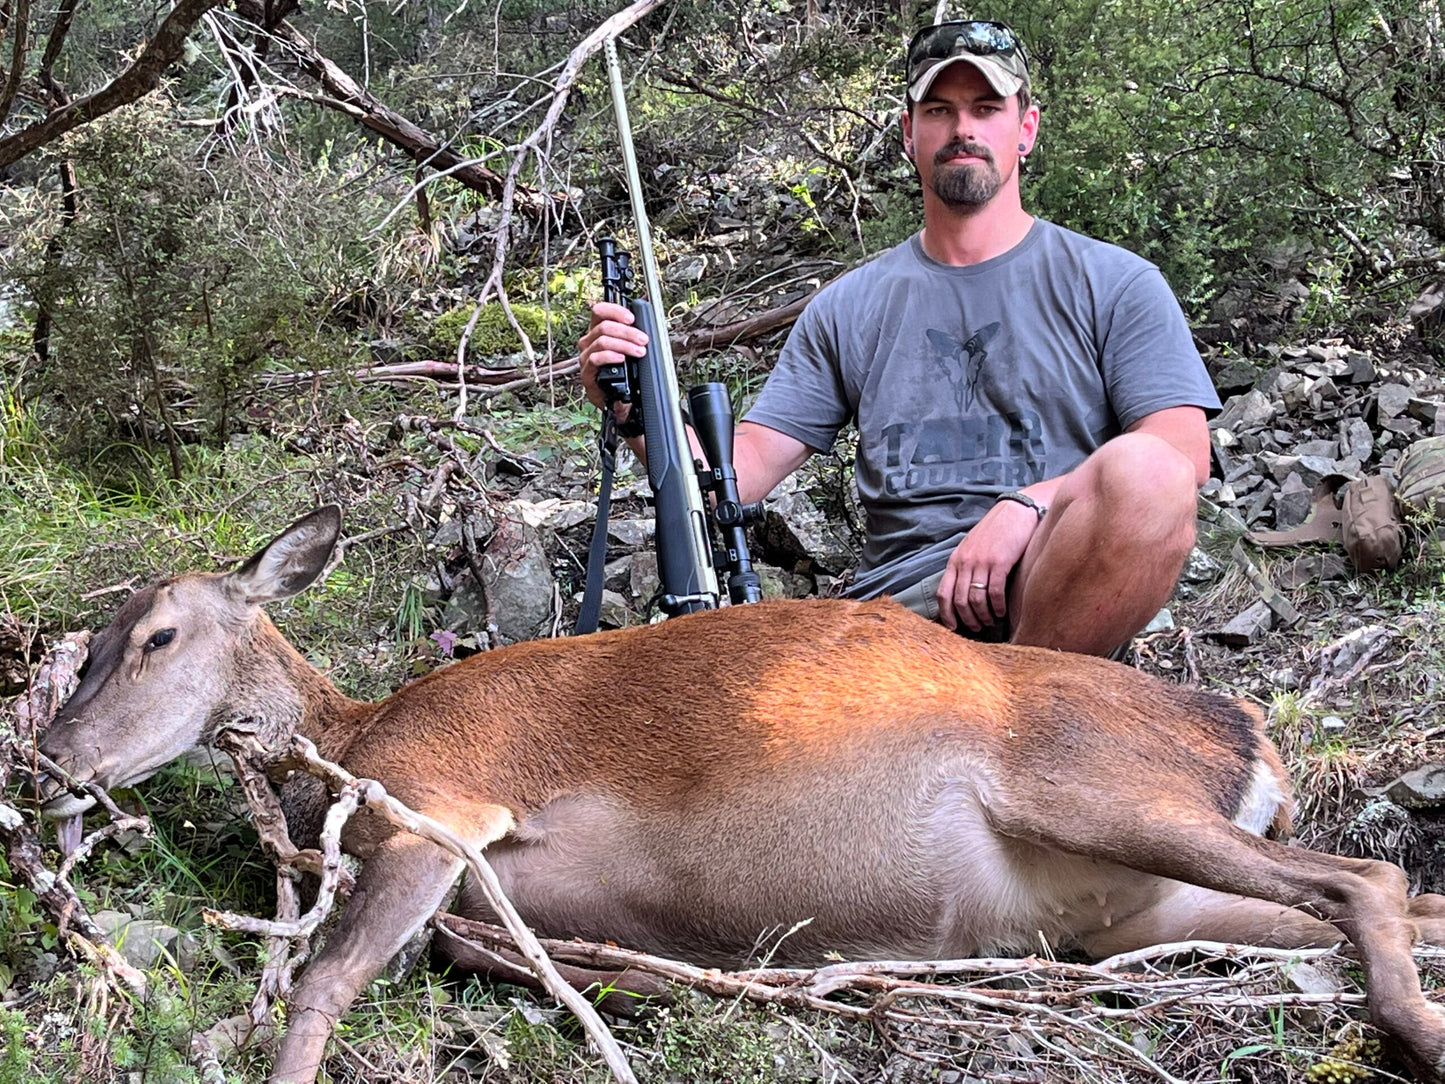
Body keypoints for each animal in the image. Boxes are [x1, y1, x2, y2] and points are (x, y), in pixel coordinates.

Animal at [32, 506, 1445, 1084]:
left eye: (155, 634)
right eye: (86, 645)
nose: (51, 759)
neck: (352, 734)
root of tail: (1251, 735)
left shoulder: (447, 799)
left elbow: (323, 979)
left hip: (1097, 791)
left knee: (1368, 872)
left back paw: (1414, 1036)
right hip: (1131, 908)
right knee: (1377, 897)